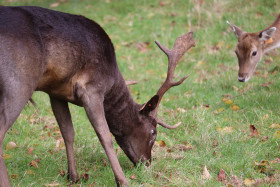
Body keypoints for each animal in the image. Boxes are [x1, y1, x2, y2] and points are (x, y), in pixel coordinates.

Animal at [0, 5, 195, 186]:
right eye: (153, 132)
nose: (147, 163)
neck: (112, 79)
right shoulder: (92, 89)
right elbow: (105, 136)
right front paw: (123, 181)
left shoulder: (56, 92)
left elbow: (68, 132)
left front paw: (73, 176)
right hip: (19, 82)